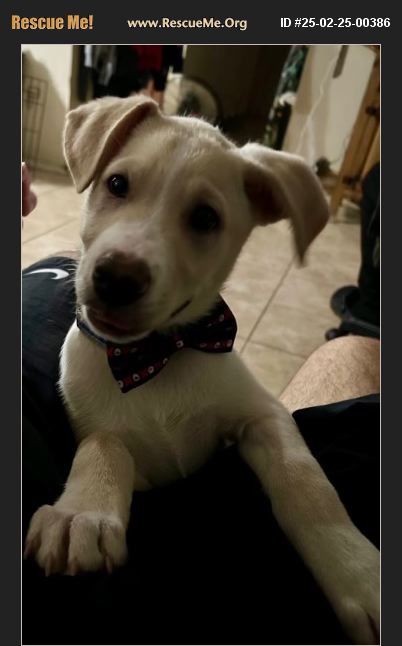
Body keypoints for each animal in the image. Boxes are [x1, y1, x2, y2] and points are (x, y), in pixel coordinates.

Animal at [24, 95, 380, 644]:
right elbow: (102, 445)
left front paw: (358, 571)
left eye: (205, 218)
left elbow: (307, 482)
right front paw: (80, 513)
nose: (116, 278)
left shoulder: (264, 415)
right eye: (117, 184)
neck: (159, 356)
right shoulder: (119, 450)